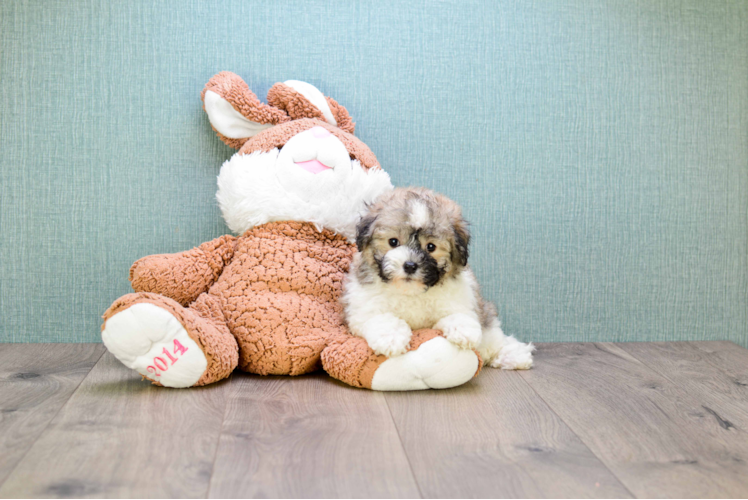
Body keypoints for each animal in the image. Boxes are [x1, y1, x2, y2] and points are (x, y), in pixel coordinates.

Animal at [342, 186, 536, 370]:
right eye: (393, 242)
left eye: (431, 247)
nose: (410, 265)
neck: (411, 293)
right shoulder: (364, 307)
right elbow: (381, 319)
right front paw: (391, 338)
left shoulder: (460, 299)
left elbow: (458, 314)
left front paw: (463, 330)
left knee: (494, 341)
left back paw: (513, 355)